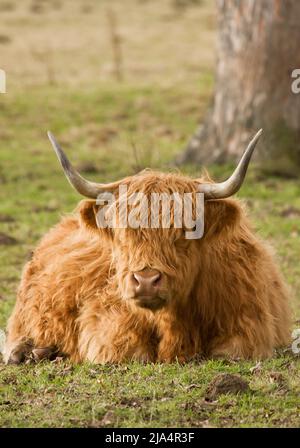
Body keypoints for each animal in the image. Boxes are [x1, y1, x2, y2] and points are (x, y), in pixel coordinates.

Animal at [4, 129, 290, 364]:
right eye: (122, 234)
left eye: (185, 232)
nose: (146, 281)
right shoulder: (104, 325)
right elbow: (131, 352)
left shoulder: (251, 326)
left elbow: (231, 352)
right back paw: (29, 352)